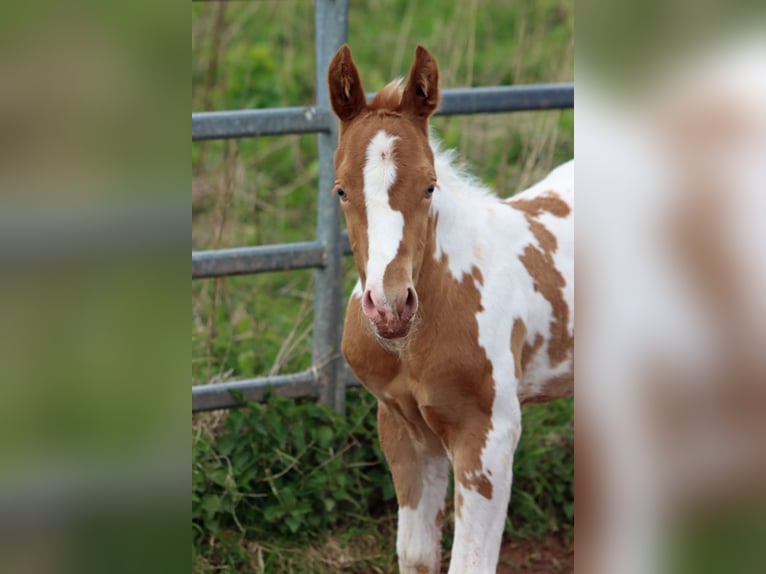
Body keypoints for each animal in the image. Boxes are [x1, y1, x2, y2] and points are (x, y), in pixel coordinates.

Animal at [328, 44, 574, 574]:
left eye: (429, 186)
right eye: (340, 190)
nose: (391, 306)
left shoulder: (488, 435)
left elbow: (469, 563)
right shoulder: (403, 429)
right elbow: (416, 554)